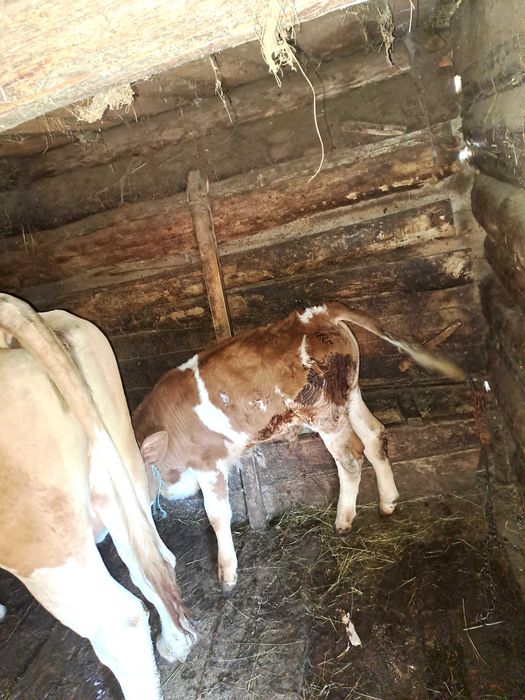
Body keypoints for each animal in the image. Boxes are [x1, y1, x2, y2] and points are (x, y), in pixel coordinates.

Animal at [134, 302, 464, 593]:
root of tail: (317, 312)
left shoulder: (209, 463)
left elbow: (216, 516)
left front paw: (226, 574)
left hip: (324, 412)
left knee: (351, 457)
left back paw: (343, 520)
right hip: (350, 394)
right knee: (374, 437)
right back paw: (387, 502)